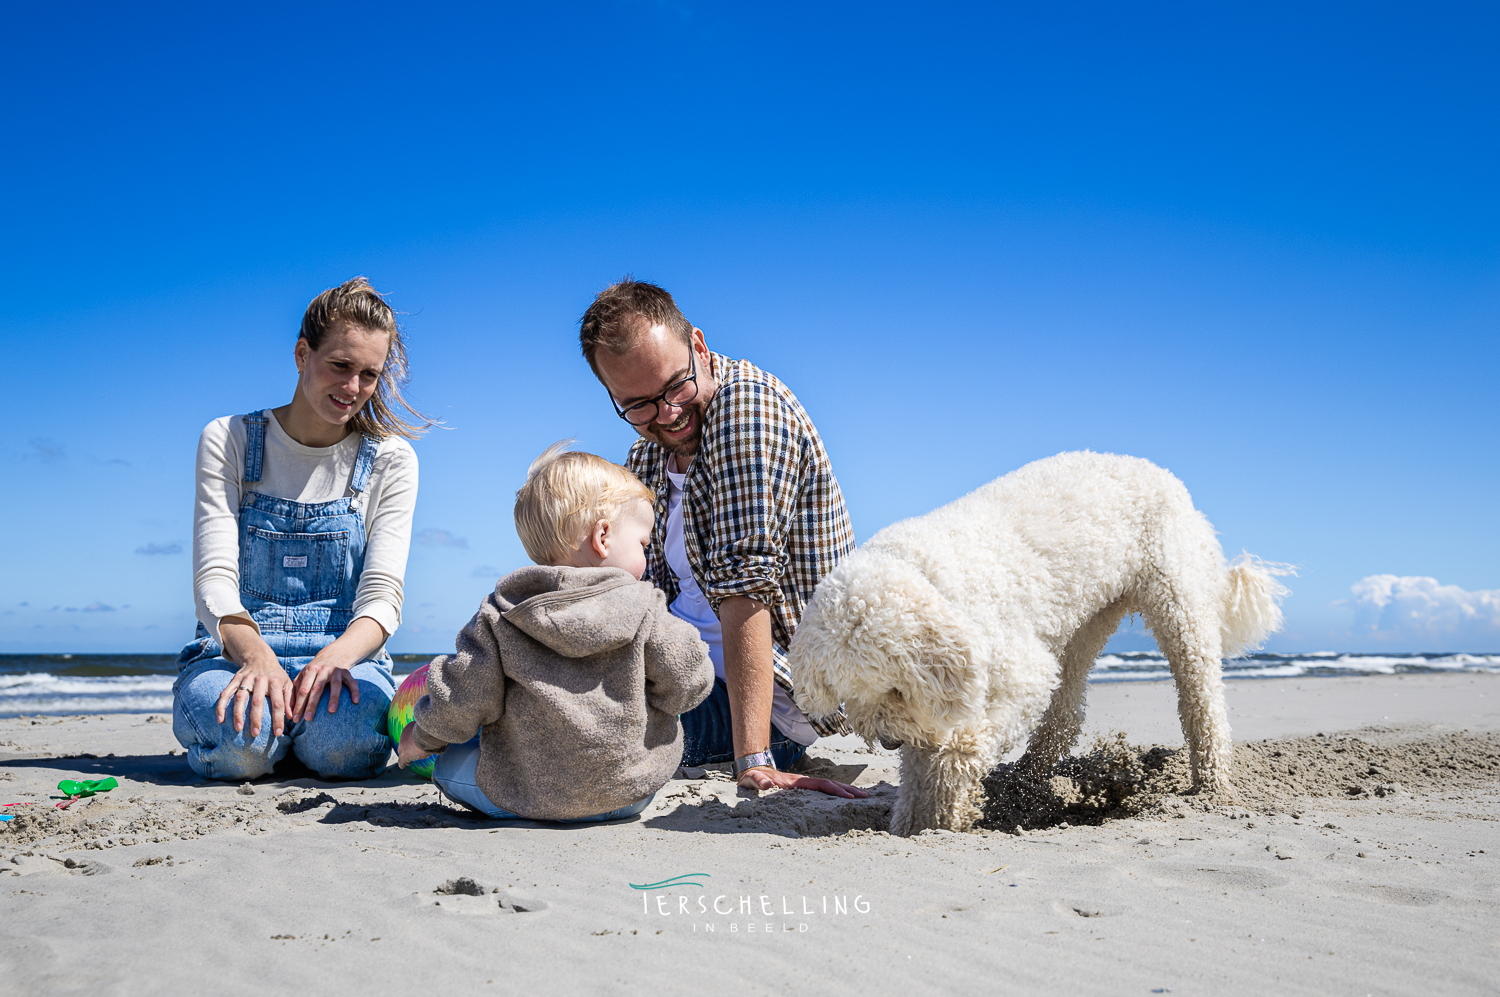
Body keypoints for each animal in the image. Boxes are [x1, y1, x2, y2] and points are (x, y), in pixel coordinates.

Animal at [786, 449, 1290, 833]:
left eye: (895, 689)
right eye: (852, 695)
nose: (888, 742)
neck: (931, 578)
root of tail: (1163, 473)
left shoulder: (1015, 674)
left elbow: (960, 750)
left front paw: (946, 815)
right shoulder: (944, 702)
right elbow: (923, 765)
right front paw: (915, 824)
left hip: (1177, 599)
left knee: (1201, 695)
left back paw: (1212, 786)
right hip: (1084, 620)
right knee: (1066, 709)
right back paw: (1027, 776)